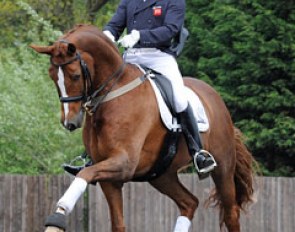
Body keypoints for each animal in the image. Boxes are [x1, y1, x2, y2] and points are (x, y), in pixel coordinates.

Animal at [31, 24, 256, 231]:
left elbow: (83, 175)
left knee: (231, 213)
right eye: (52, 76)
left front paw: (58, 216)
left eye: (75, 76)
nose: (70, 122)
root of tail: (214, 96)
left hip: (223, 167)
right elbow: (117, 223)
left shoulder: (123, 163)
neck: (113, 94)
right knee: (189, 203)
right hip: (162, 175)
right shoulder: (109, 178)